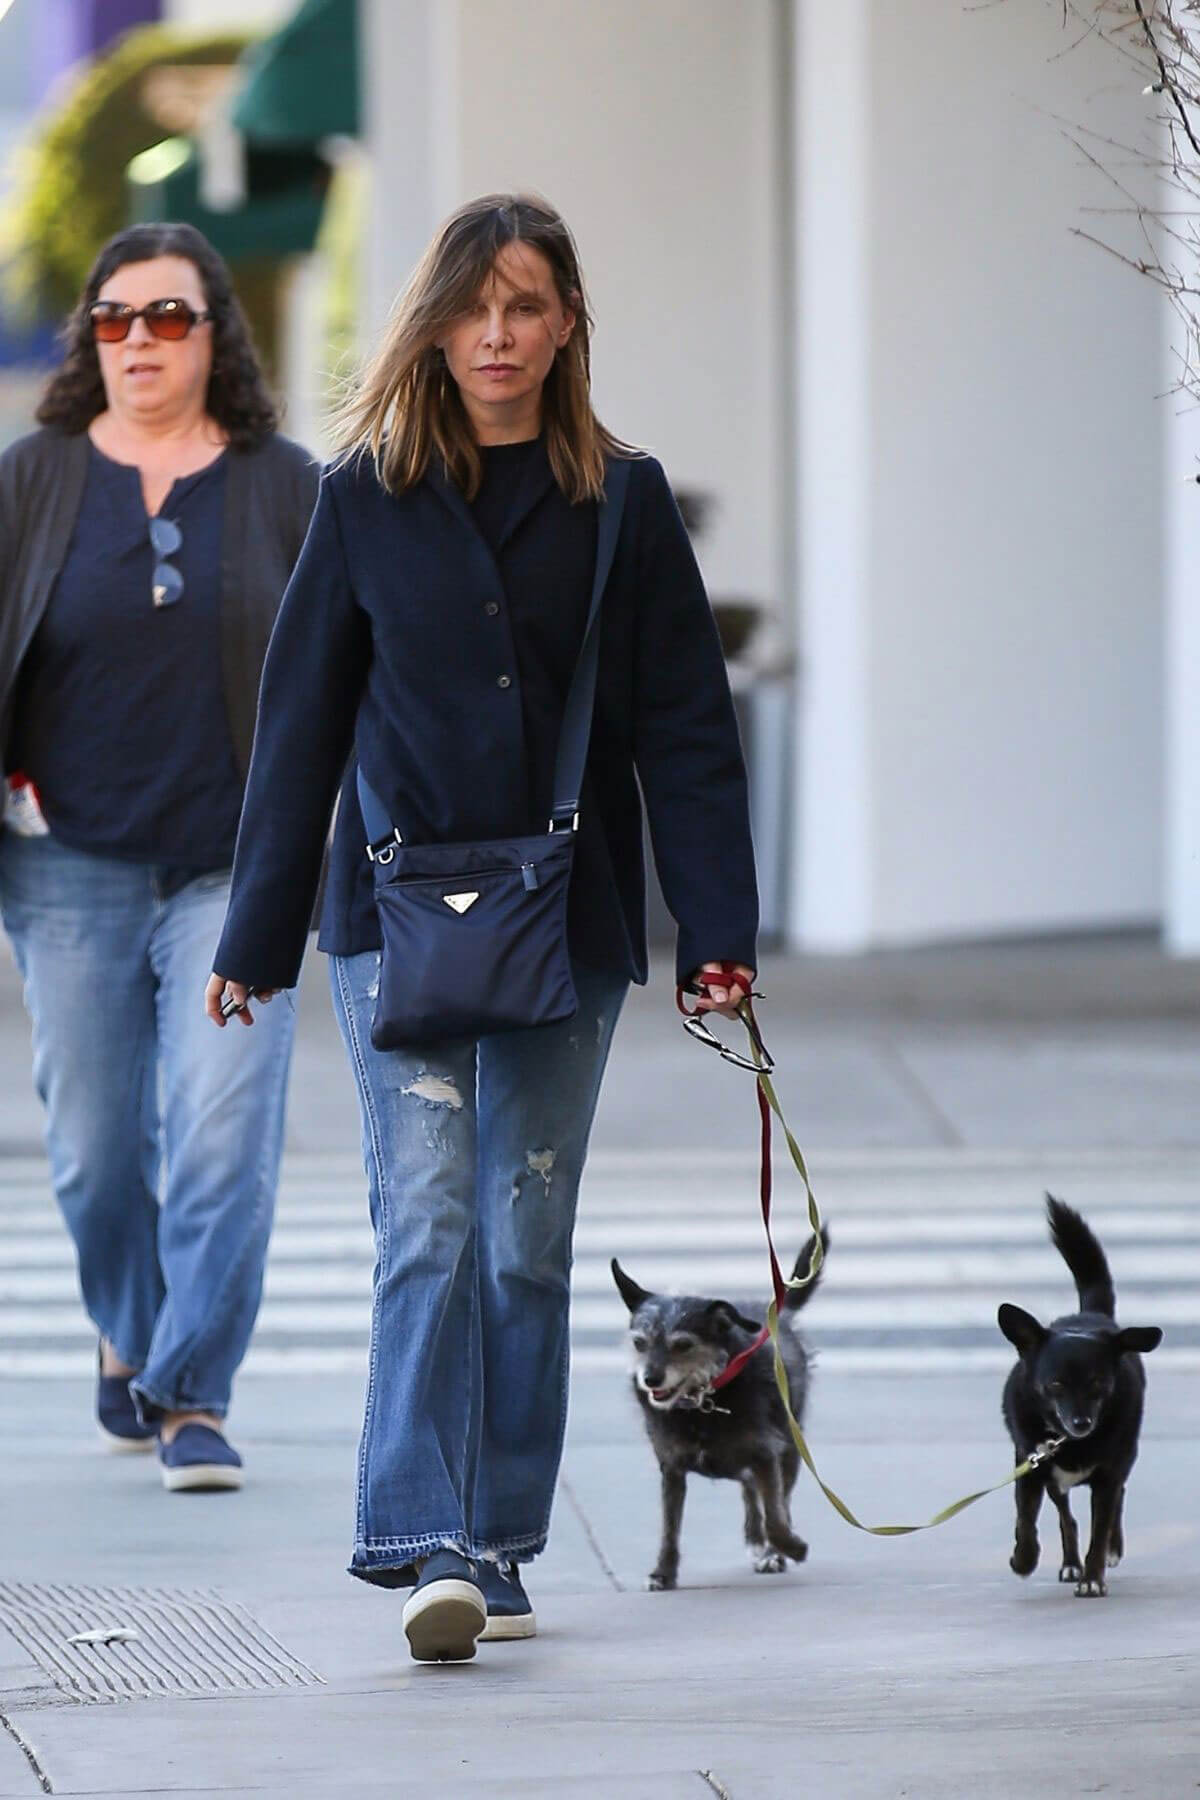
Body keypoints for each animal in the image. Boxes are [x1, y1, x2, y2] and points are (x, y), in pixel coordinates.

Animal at [1007, 1202, 1165, 1598]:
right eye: (1055, 1384)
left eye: (1098, 1383)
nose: (1081, 1423)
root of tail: (1091, 1315)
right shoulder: (1030, 1467)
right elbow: (1026, 1520)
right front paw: (1024, 1559)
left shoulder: (1108, 1475)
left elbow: (1102, 1525)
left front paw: (1093, 1577)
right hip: (1053, 1481)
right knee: (1067, 1517)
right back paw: (1069, 1564)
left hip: (1124, 1458)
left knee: (1116, 1504)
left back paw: (1110, 1549)